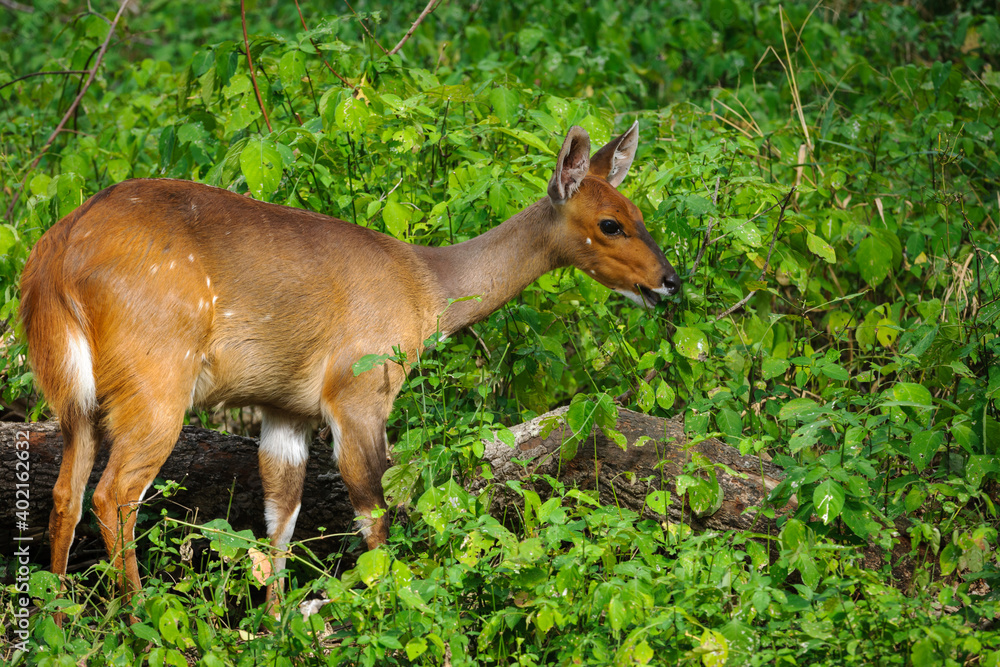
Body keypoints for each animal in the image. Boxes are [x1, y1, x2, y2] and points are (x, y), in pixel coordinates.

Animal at [21, 121, 680, 616]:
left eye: (641, 213)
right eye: (610, 224)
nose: (670, 282)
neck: (427, 290)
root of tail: (53, 258)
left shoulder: (287, 410)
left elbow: (280, 520)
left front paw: (274, 624)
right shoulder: (359, 393)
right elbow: (374, 513)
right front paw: (377, 610)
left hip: (77, 400)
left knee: (65, 492)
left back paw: (61, 620)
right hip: (157, 384)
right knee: (114, 494)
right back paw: (139, 618)